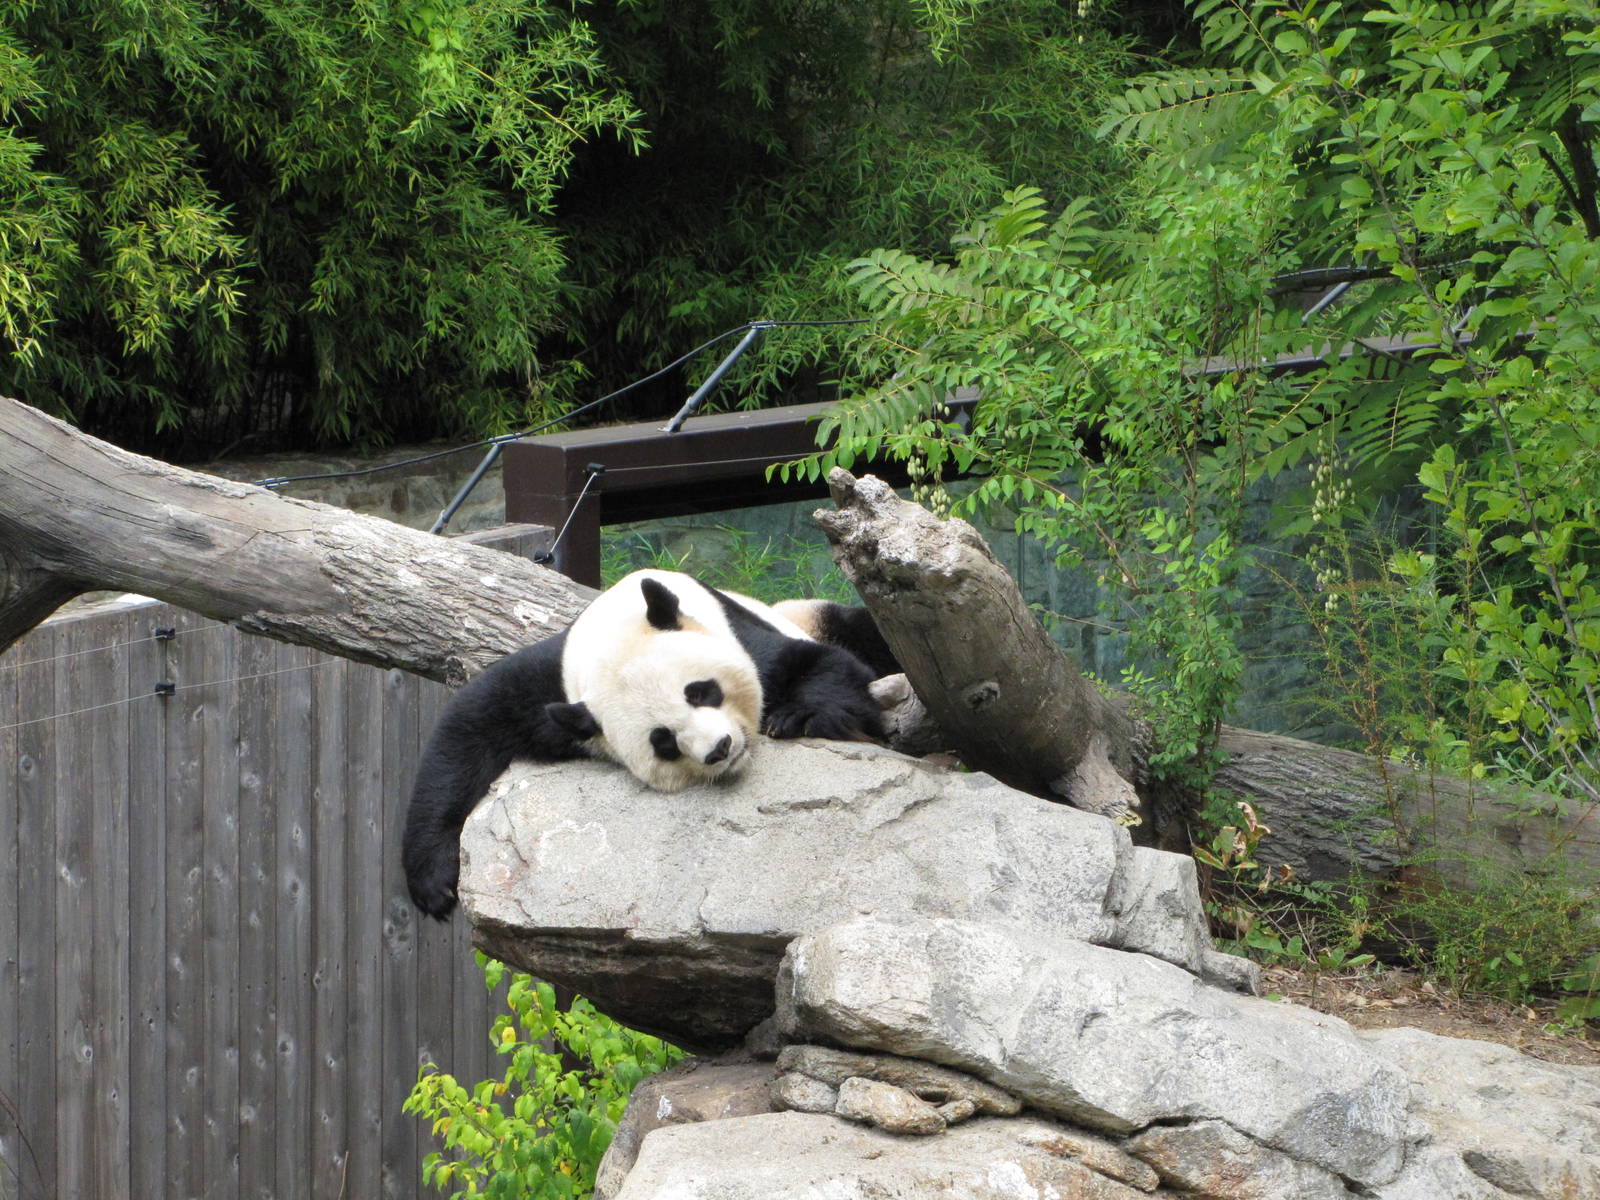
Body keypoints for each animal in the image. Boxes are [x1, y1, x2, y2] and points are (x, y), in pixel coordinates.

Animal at [402, 569, 885, 919]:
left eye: (700, 692)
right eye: (663, 741)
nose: (720, 748)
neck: (616, 623)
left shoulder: (737, 634)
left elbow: (821, 665)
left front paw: (799, 715)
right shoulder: (553, 686)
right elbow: (468, 727)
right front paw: (434, 882)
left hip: (810, 614)